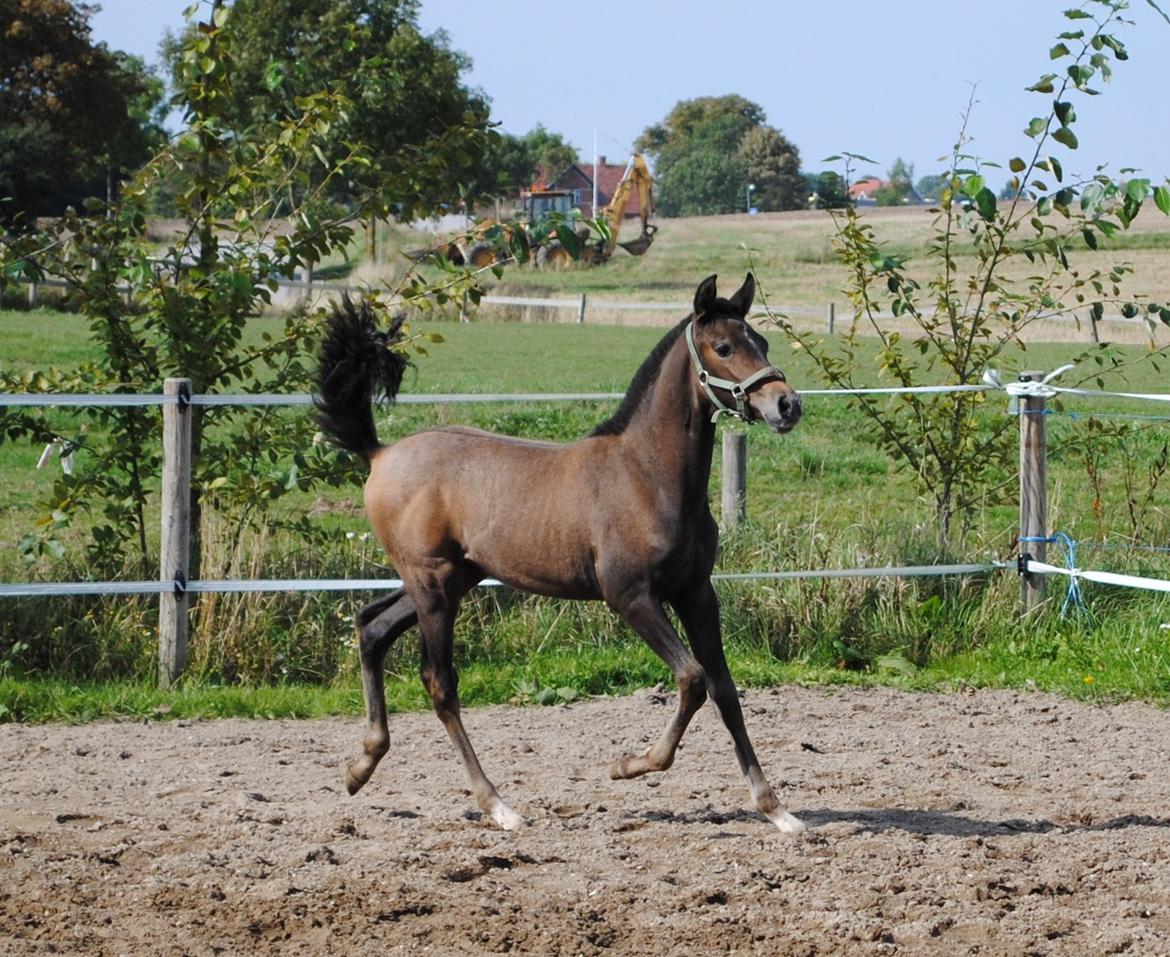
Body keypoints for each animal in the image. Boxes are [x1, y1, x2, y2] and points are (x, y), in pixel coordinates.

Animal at [311, 270, 804, 828]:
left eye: (761, 341)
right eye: (723, 347)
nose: (786, 405)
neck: (647, 477)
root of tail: (380, 453)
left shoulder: (697, 593)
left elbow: (724, 689)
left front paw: (775, 809)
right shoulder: (629, 596)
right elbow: (693, 679)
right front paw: (629, 765)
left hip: (453, 578)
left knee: (371, 626)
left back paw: (361, 766)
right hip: (432, 583)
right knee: (439, 683)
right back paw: (498, 805)